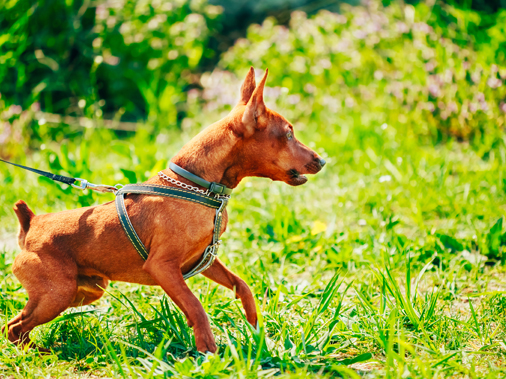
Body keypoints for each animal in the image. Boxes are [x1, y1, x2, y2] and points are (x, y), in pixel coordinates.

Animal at [4, 67, 324, 354]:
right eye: (288, 135)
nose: (321, 160)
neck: (195, 186)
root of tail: (31, 224)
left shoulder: (203, 259)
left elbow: (241, 285)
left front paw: (255, 327)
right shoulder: (163, 268)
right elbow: (196, 307)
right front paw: (208, 351)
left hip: (84, 291)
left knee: (16, 324)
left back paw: (39, 350)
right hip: (58, 294)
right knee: (14, 327)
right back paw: (37, 353)